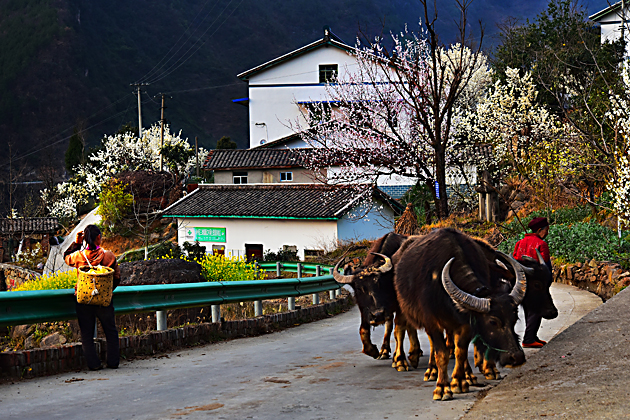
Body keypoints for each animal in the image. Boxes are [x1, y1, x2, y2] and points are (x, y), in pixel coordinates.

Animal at [392, 230, 524, 400]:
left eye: (514, 319)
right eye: (492, 322)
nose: (517, 357)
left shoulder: (466, 324)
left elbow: (460, 352)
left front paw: (459, 382)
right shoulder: (432, 321)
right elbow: (441, 354)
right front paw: (442, 388)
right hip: (402, 308)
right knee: (402, 330)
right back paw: (409, 364)